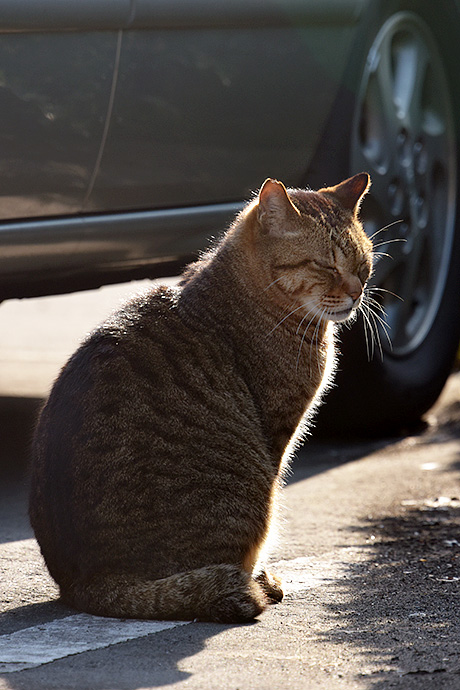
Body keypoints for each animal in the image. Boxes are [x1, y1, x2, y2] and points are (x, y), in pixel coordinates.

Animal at [28, 171, 374, 620]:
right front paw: (262, 578)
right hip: (249, 491)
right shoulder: (278, 433)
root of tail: (88, 584)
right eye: (326, 264)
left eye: (364, 264)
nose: (358, 292)